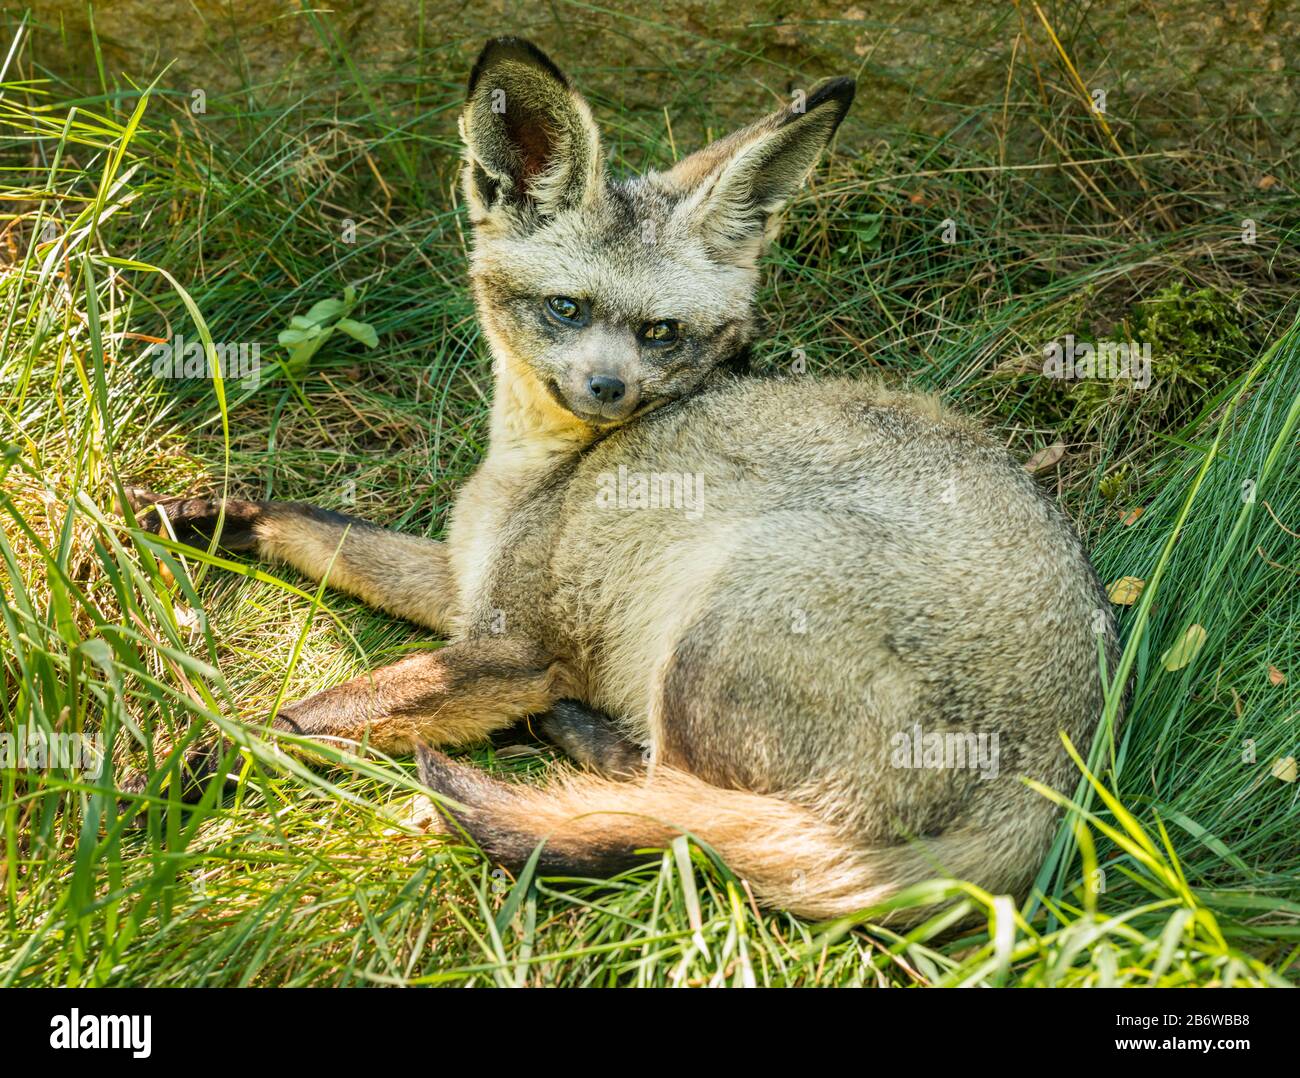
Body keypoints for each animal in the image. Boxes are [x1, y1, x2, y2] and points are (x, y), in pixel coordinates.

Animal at [125, 37, 1118, 922]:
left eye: (661, 333)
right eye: (567, 309)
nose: (610, 390)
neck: (535, 468)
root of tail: (1061, 779)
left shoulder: (511, 649)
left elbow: (290, 718)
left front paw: (175, 776)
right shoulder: (466, 585)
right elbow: (311, 525)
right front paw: (196, 517)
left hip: (721, 618)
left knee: (679, 810)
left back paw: (571, 739)